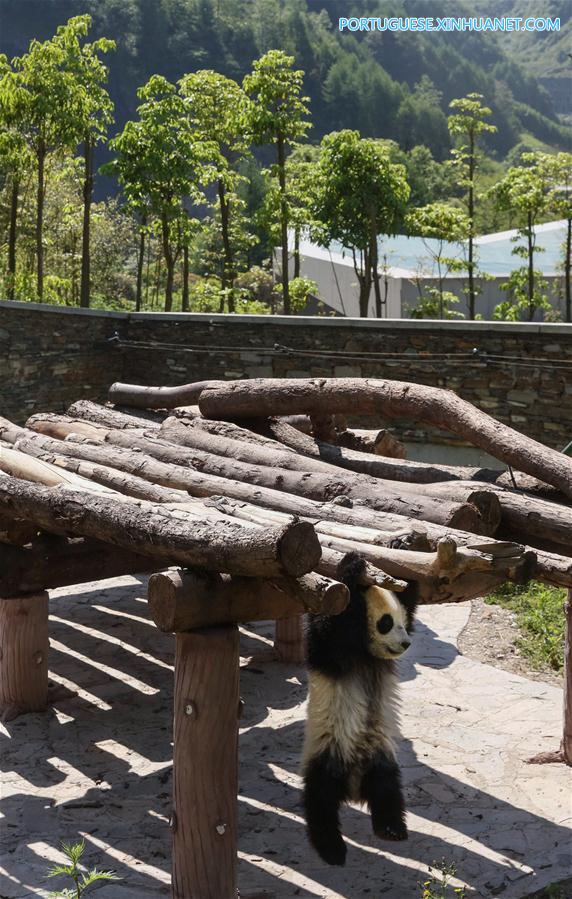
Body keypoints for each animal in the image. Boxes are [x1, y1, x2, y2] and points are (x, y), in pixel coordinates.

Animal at [302, 552, 417, 866]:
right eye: (386, 623)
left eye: (403, 622)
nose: (406, 643)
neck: (365, 653)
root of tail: (353, 788)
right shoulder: (332, 653)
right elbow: (325, 625)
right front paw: (352, 565)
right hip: (328, 750)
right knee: (320, 799)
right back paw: (331, 847)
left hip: (380, 756)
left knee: (388, 790)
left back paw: (391, 829)